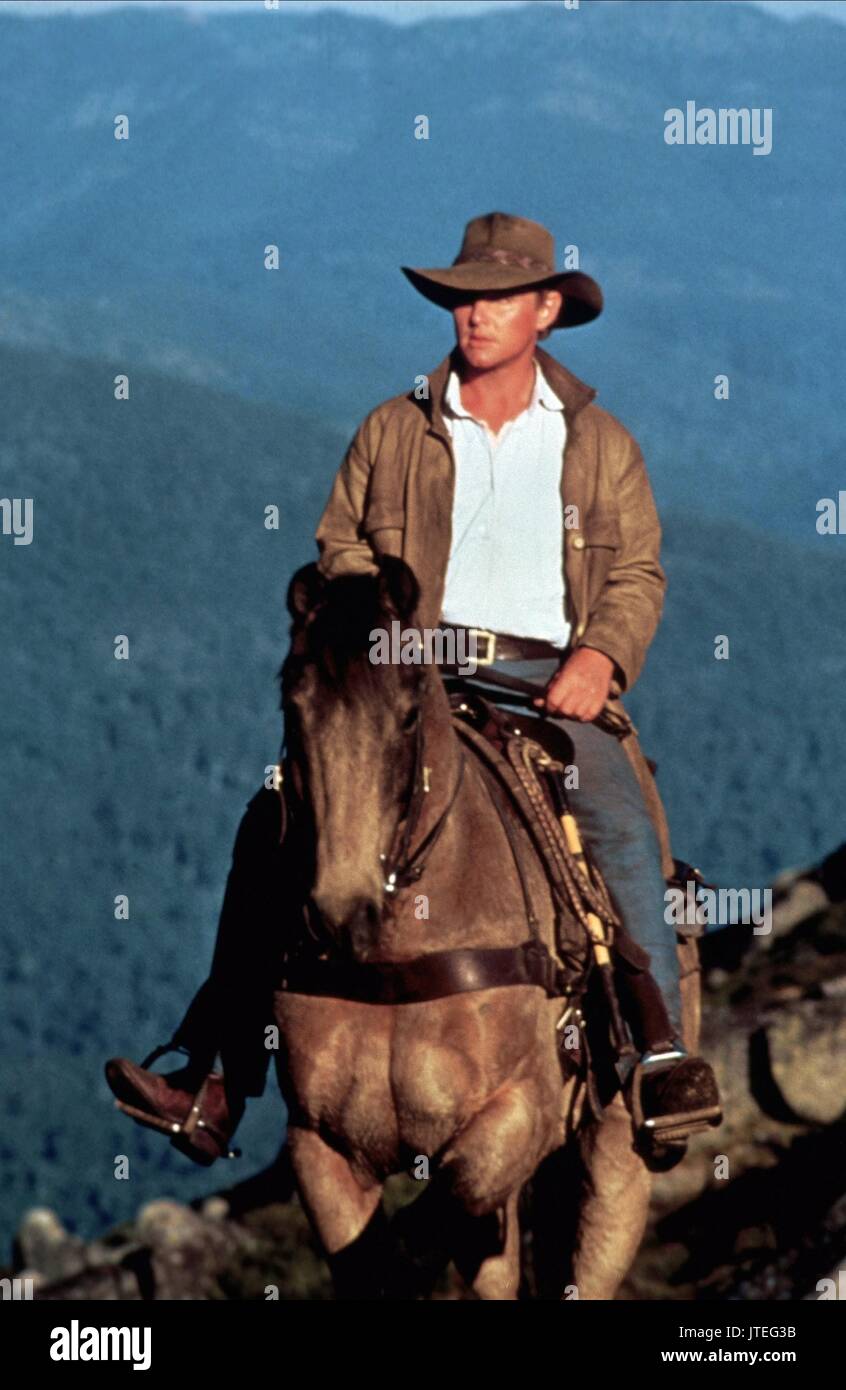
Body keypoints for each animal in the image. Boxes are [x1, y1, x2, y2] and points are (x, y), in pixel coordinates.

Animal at [273, 556, 650, 1301]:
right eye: (292, 711)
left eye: (408, 713)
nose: (340, 913)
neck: (402, 956)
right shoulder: (318, 1149)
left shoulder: (518, 1115)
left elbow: (439, 1211)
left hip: (616, 1166)